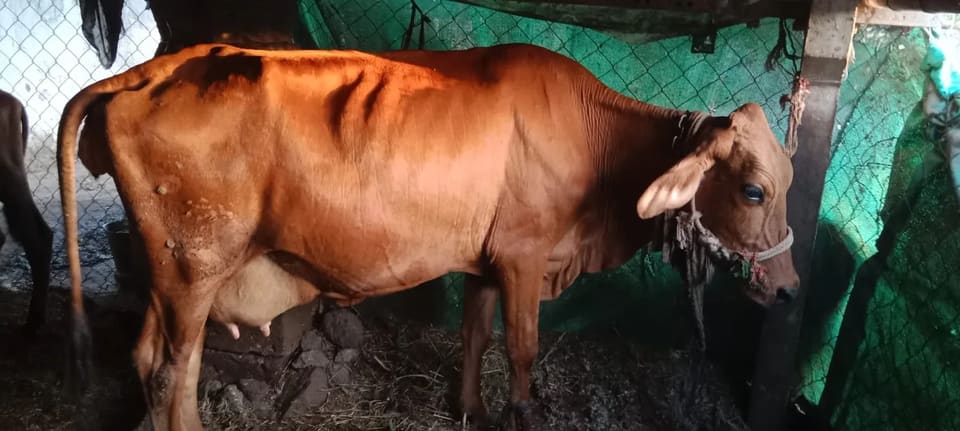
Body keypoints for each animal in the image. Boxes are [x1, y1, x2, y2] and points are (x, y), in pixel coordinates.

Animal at [57, 43, 799, 430]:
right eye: (753, 189)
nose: (790, 289)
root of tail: (160, 66)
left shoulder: (485, 259)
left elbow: (474, 337)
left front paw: (468, 408)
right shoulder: (525, 256)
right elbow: (522, 350)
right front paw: (518, 412)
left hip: (172, 273)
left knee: (154, 361)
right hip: (195, 265)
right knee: (170, 371)